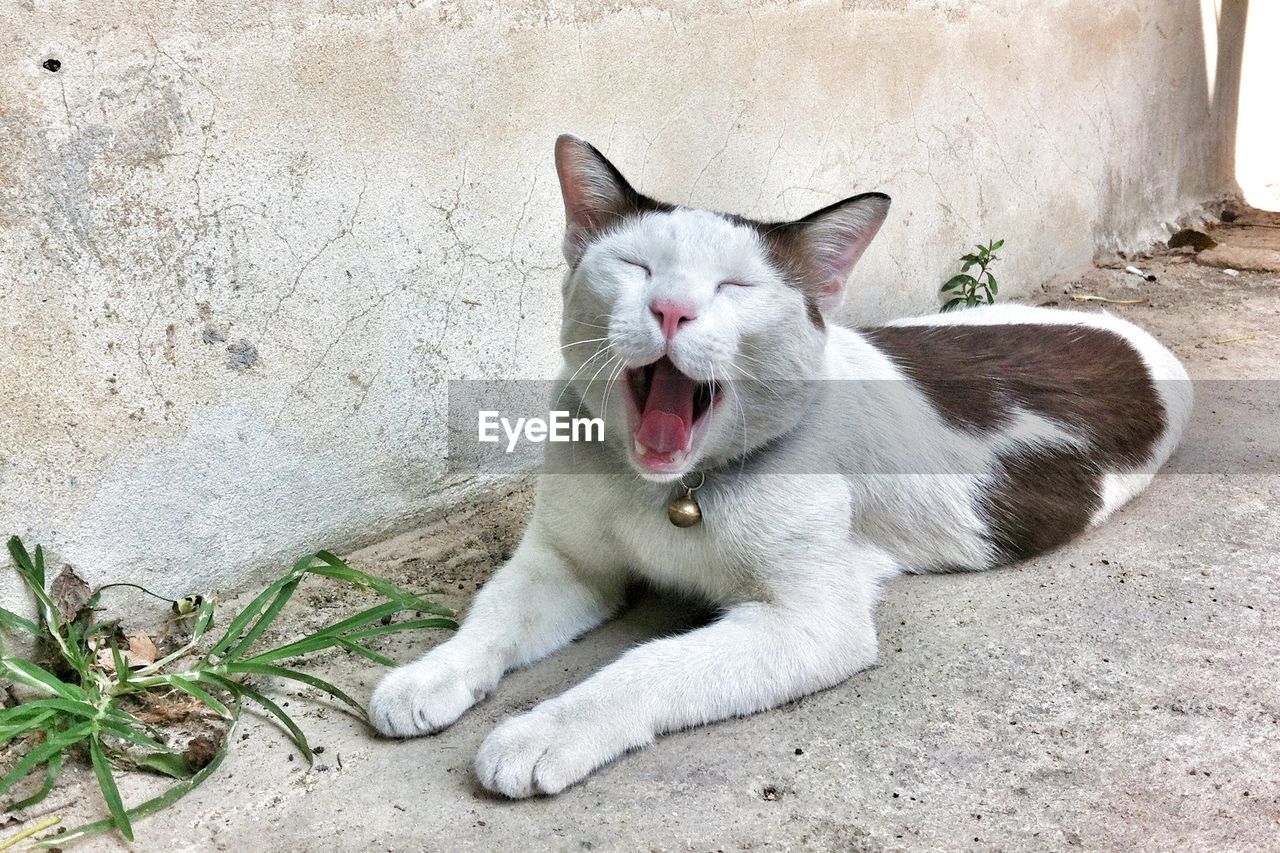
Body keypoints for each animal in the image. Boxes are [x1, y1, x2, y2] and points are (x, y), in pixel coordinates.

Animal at [368, 134, 1187, 799]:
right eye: (636, 266)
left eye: (736, 286)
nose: (670, 309)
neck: (673, 490)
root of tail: (1130, 332)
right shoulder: (564, 563)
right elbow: (492, 617)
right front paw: (430, 673)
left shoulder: (811, 621)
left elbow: (650, 665)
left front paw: (549, 728)